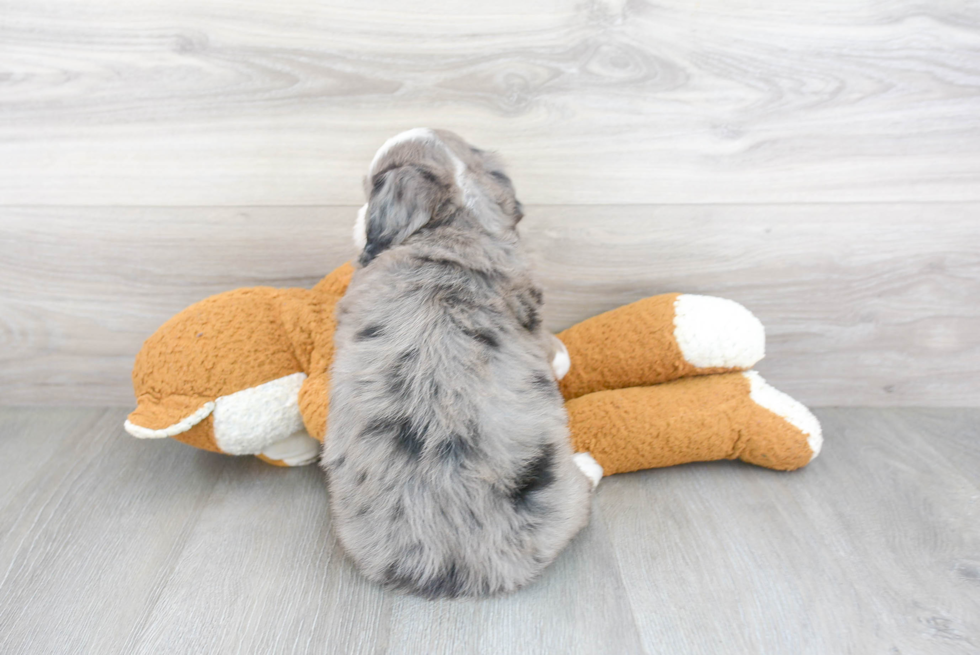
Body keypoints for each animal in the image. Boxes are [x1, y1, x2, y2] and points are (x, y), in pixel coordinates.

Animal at [326, 128, 592, 600]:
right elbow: (553, 349)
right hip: (569, 495)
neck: (456, 220)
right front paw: (563, 358)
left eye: (368, 189)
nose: (356, 217)